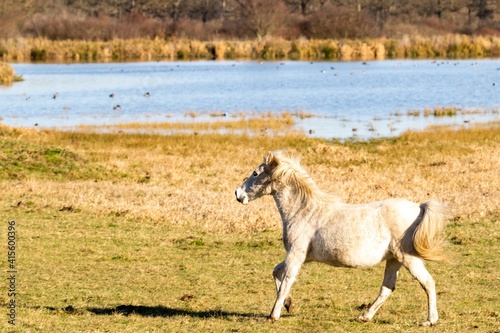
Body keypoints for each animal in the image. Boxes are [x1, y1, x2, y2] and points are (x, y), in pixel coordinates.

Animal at [234, 150, 450, 324]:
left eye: (255, 173)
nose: (237, 194)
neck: (304, 211)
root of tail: (419, 207)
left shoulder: (296, 254)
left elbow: (286, 279)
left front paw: (273, 315)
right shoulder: (303, 257)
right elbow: (277, 272)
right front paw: (288, 304)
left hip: (408, 258)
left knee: (427, 282)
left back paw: (430, 321)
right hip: (394, 259)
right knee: (387, 288)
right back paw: (364, 317)